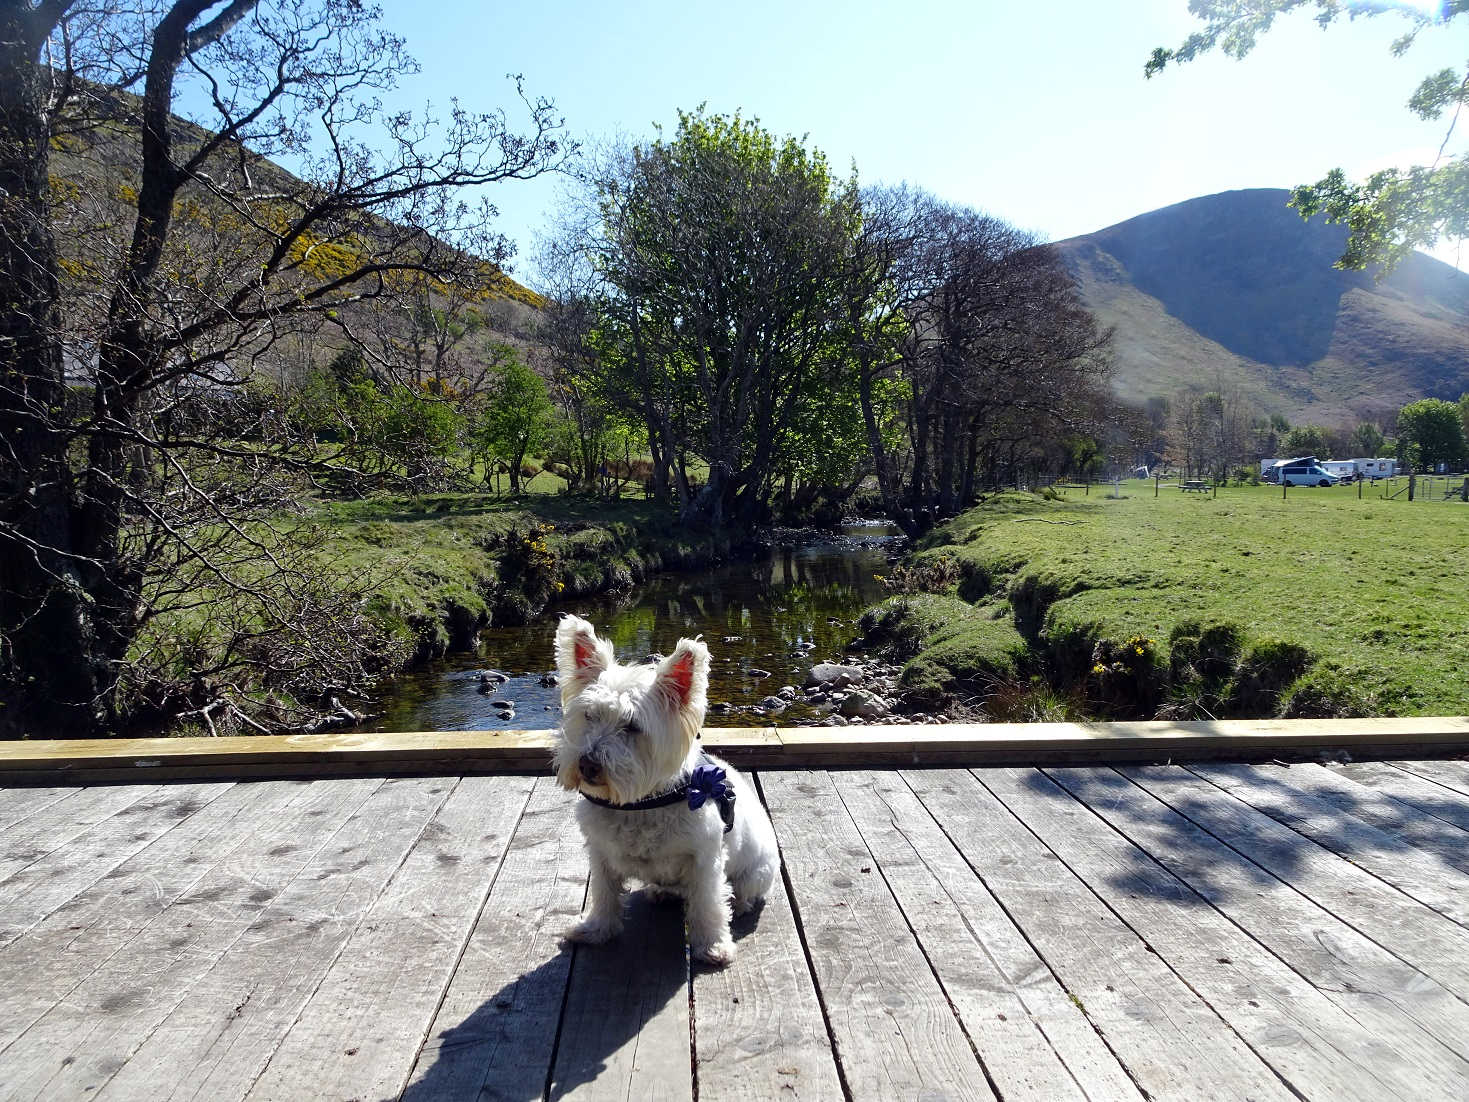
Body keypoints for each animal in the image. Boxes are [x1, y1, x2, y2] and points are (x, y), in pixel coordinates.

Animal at [552, 614, 781, 963]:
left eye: (632, 726)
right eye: (589, 715)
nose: (588, 766)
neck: (640, 803)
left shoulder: (705, 860)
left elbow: (708, 904)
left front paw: (713, 945)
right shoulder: (601, 853)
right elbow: (605, 894)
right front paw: (595, 929)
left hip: (758, 871)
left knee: (744, 890)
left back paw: (739, 903)